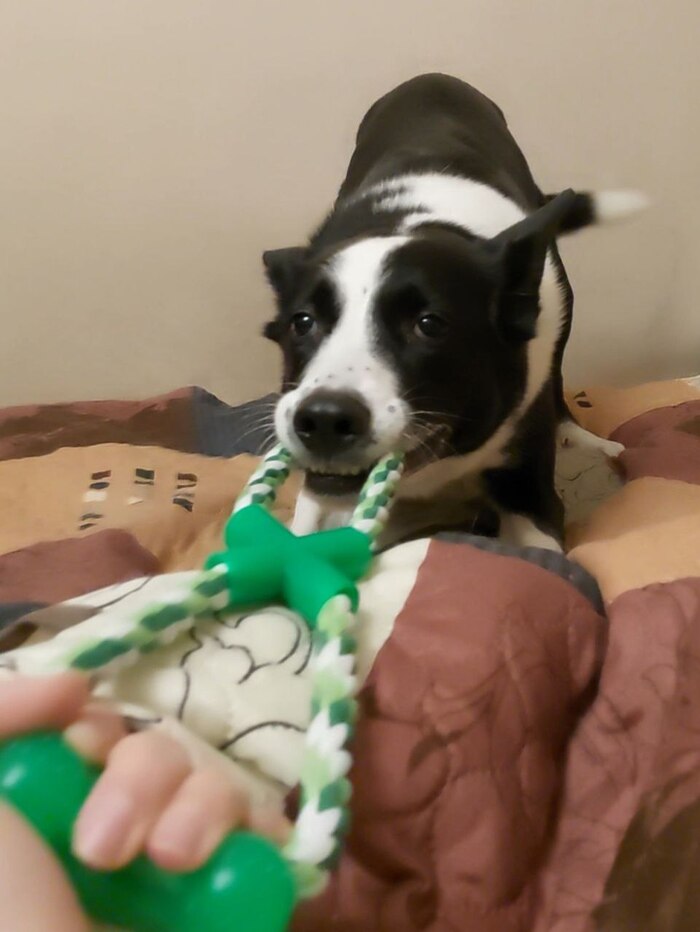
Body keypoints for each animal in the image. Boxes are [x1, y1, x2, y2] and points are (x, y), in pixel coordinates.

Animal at [262, 74, 646, 550]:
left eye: (429, 325)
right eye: (303, 323)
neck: (419, 222)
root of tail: (431, 78)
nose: (324, 419)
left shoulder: (528, 484)